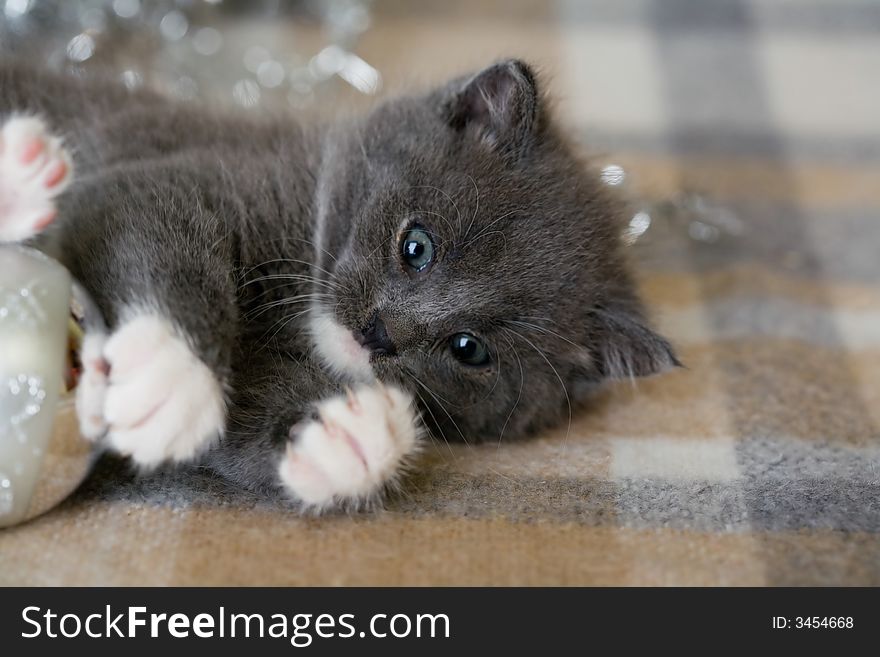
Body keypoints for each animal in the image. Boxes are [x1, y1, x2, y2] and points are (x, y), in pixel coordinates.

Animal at [0, 59, 680, 508]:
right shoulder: (153, 178)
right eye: (417, 246)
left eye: (469, 349)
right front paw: (171, 374)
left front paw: (341, 434)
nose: (380, 332)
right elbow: (151, 223)